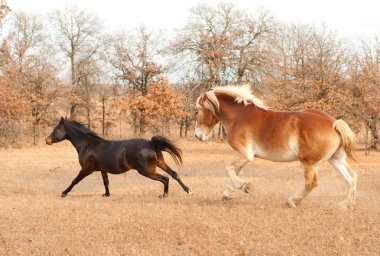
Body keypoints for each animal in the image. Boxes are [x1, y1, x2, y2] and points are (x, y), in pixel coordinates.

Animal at [45, 117, 191, 198]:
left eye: (55, 129)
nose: (47, 140)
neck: (88, 144)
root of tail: (151, 144)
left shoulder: (87, 169)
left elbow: (75, 180)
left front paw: (64, 193)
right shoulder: (102, 169)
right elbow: (106, 182)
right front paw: (106, 194)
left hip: (146, 171)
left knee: (165, 178)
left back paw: (164, 195)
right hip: (159, 163)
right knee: (174, 174)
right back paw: (188, 190)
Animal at [194, 85, 358, 209]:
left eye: (197, 111)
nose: (197, 136)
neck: (239, 116)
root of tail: (333, 123)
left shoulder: (244, 154)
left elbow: (229, 169)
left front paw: (246, 187)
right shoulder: (242, 156)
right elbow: (233, 173)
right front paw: (227, 195)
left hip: (309, 163)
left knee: (311, 183)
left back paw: (292, 201)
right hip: (335, 159)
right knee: (351, 177)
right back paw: (346, 204)